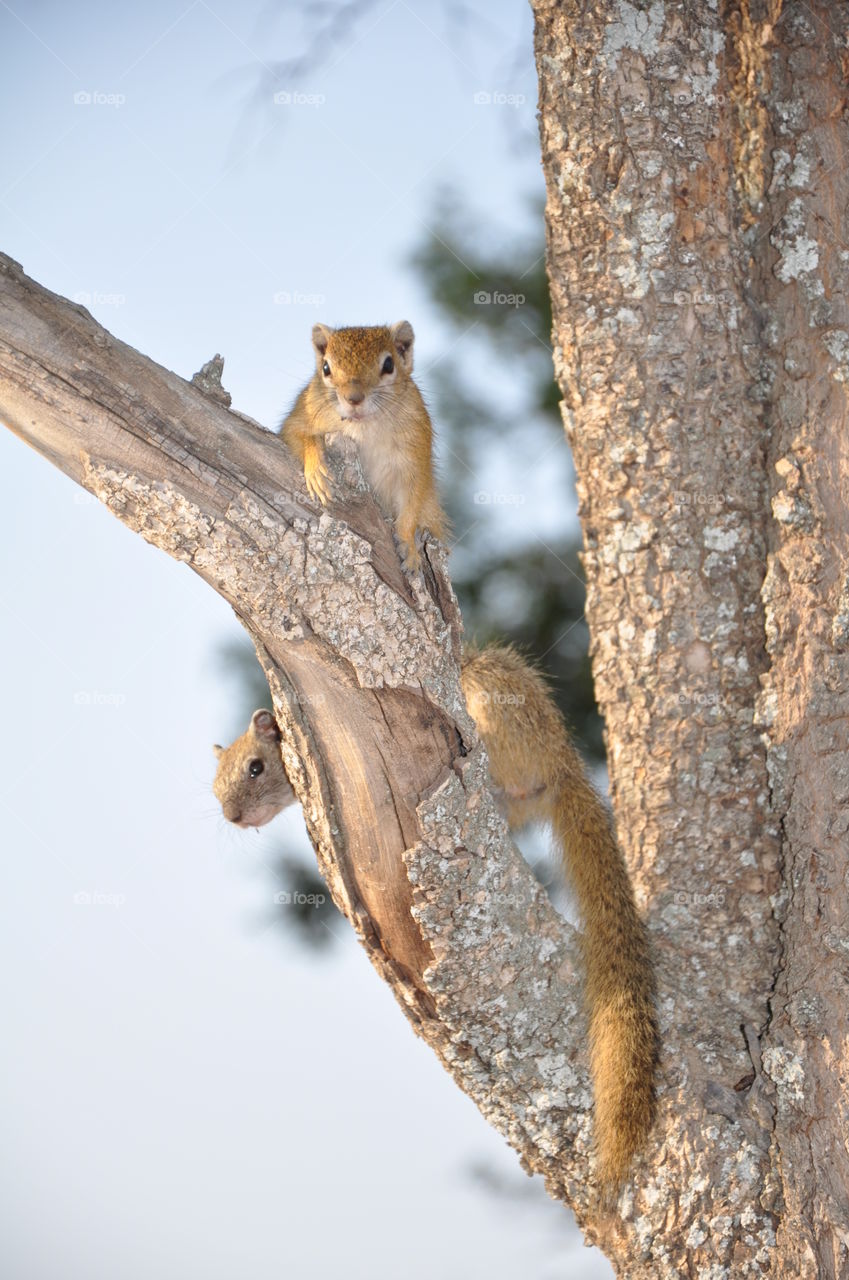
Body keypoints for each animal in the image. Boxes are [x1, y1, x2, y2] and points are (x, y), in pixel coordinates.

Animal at [279, 321, 447, 571]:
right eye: (326, 367)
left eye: (388, 364)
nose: (354, 398)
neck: (363, 425)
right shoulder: (304, 412)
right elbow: (298, 435)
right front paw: (316, 468)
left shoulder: (416, 453)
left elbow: (412, 500)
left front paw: (409, 546)